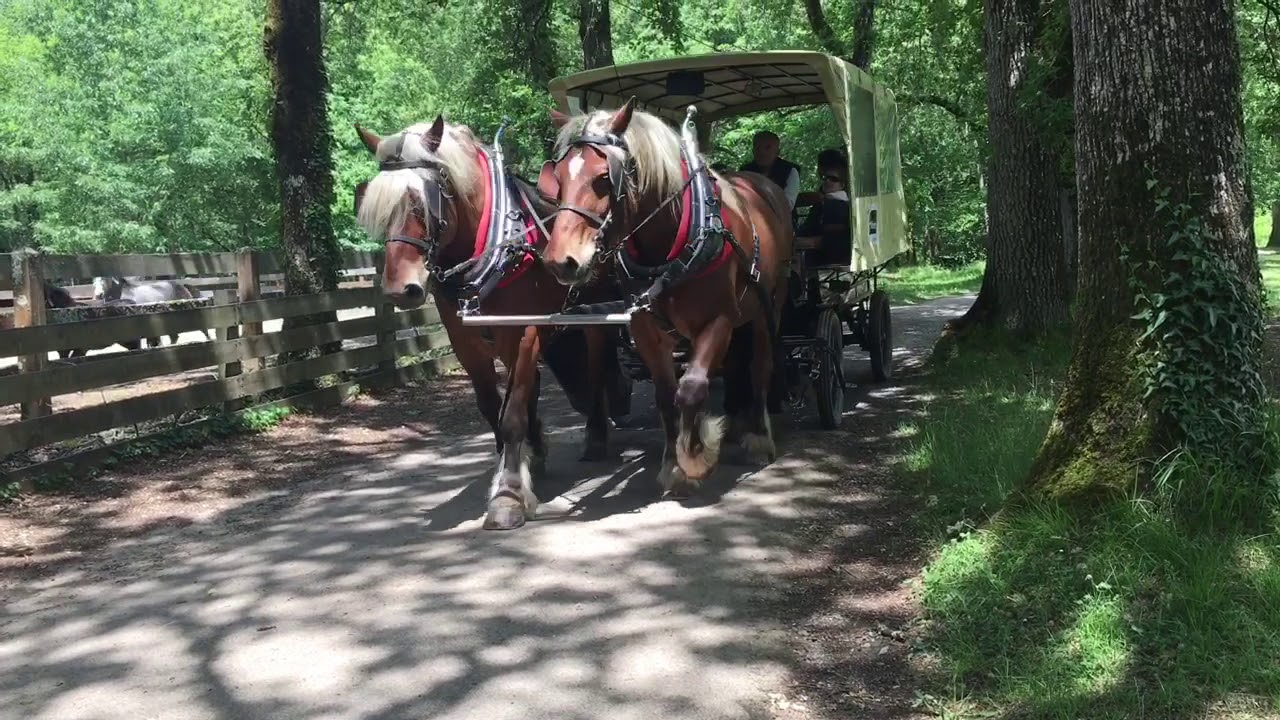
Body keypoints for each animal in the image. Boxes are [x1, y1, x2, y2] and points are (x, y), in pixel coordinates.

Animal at [352, 114, 631, 530]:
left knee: (595, 369)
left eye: (423, 201)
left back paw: (596, 435)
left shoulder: (525, 332)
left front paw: (509, 493)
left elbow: (512, 411)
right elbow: (492, 407)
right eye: (378, 206)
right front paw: (521, 459)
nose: (401, 290)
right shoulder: (466, 342)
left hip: (594, 317)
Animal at [536, 98, 795, 497]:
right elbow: (665, 395)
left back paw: (758, 436)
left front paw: (695, 458)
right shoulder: (646, 328)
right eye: (559, 179)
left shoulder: (718, 319)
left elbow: (691, 388)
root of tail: (765, 186)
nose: (561, 261)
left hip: (772, 305)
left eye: (603, 178)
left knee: (760, 365)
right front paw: (673, 464)